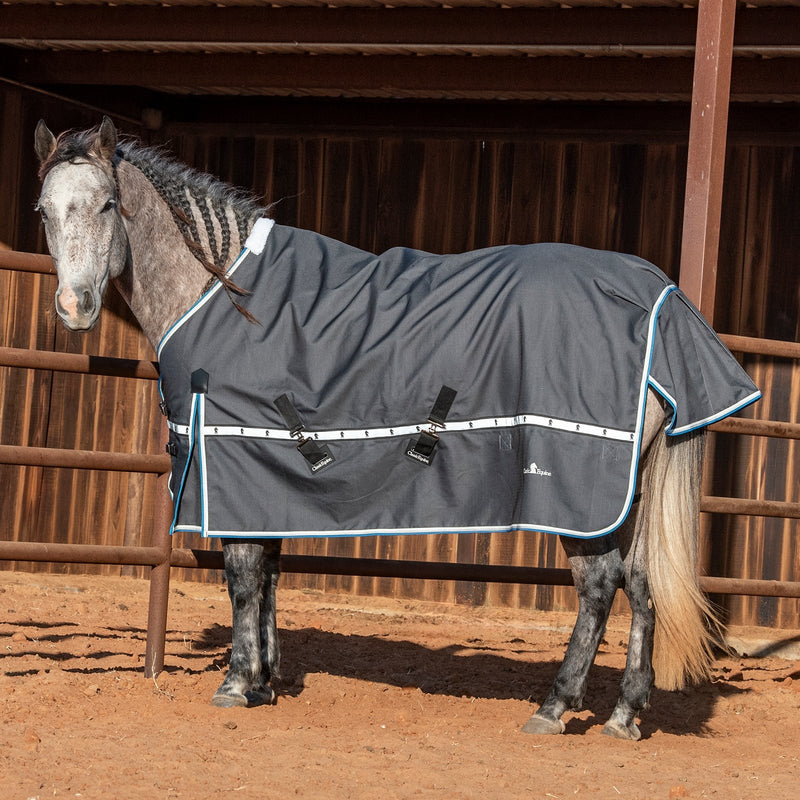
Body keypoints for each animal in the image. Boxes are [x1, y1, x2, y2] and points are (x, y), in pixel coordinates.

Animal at [33, 117, 758, 740]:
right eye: (43, 211)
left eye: (107, 206)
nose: (74, 307)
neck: (227, 297)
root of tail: (655, 297)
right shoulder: (266, 466)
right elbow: (269, 572)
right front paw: (266, 679)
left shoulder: (231, 454)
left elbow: (242, 572)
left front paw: (237, 683)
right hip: (627, 487)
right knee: (641, 583)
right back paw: (624, 715)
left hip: (578, 490)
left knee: (601, 585)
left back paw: (554, 707)